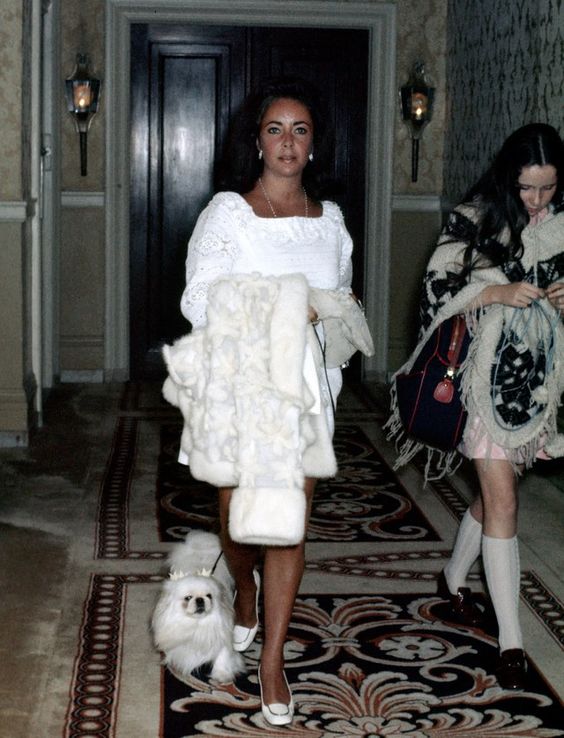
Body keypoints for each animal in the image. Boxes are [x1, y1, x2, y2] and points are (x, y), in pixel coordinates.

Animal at [151, 528, 246, 680]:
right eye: (188, 598)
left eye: (209, 596)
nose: (200, 600)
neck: (197, 624)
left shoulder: (223, 637)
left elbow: (223, 656)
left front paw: (221, 676)